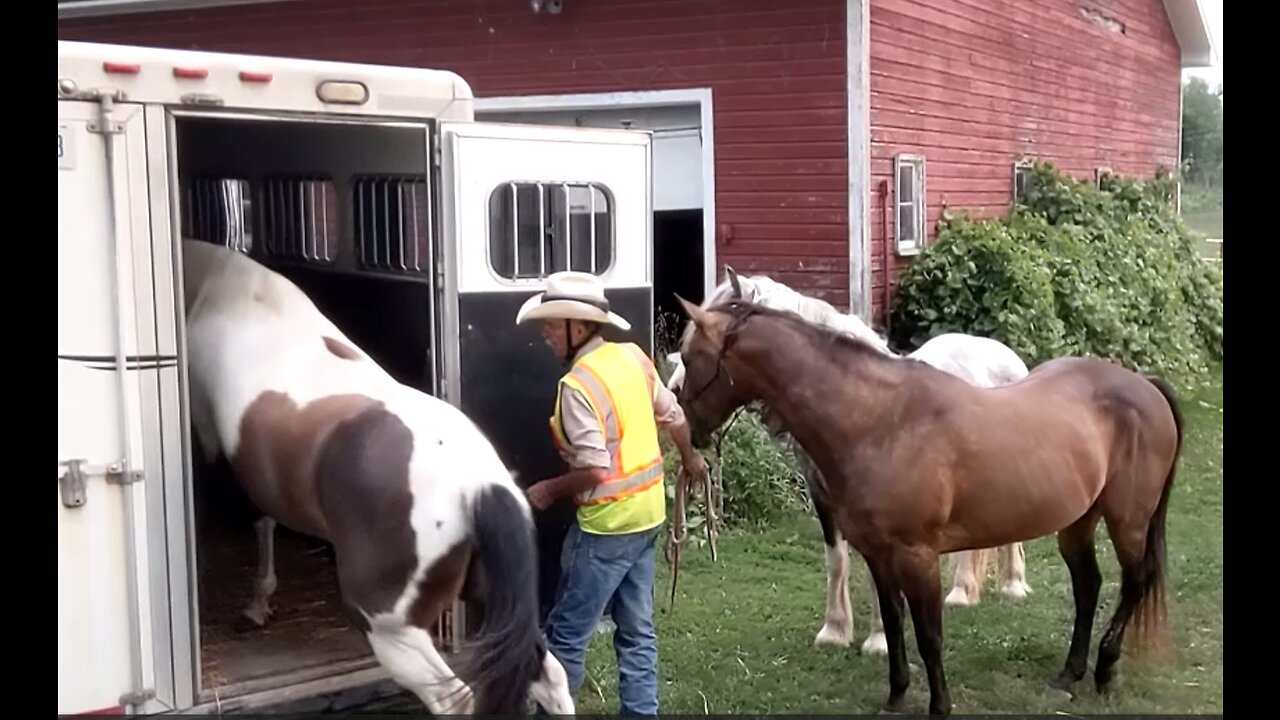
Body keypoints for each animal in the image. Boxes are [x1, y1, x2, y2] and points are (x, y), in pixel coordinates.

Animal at [181, 237, 576, 712]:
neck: (223, 294)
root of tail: (478, 485)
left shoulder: (213, 445)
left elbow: (260, 522)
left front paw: (256, 606)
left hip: (392, 630)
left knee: (454, 699)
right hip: (489, 600)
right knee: (551, 676)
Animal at [665, 265, 1034, 655]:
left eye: (697, 347)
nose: (673, 393)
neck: (858, 406)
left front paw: (878, 638)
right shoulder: (823, 498)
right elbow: (837, 560)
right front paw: (835, 629)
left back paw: (1011, 584)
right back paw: (962, 591)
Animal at [675, 297, 1182, 712]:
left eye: (691, 356)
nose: (683, 423)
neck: (879, 421)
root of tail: (1144, 384)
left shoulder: (918, 557)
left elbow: (929, 635)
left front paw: (939, 706)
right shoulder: (878, 555)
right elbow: (895, 624)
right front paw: (896, 697)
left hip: (1127, 521)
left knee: (1134, 582)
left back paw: (1105, 669)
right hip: (1077, 522)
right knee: (1088, 586)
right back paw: (1070, 673)